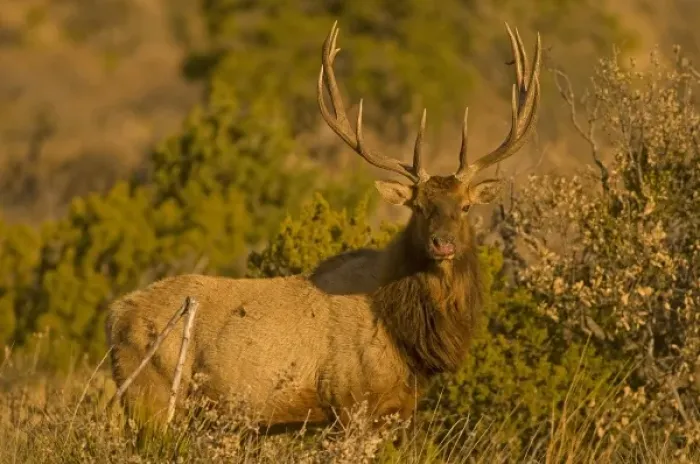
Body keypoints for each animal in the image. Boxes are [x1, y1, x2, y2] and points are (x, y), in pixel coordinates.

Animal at [106, 20, 541, 434]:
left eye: (465, 207)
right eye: (418, 207)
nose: (443, 243)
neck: (406, 337)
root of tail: (112, 316)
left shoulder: (398, 409)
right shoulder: (350, 400)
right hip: (150, 395)